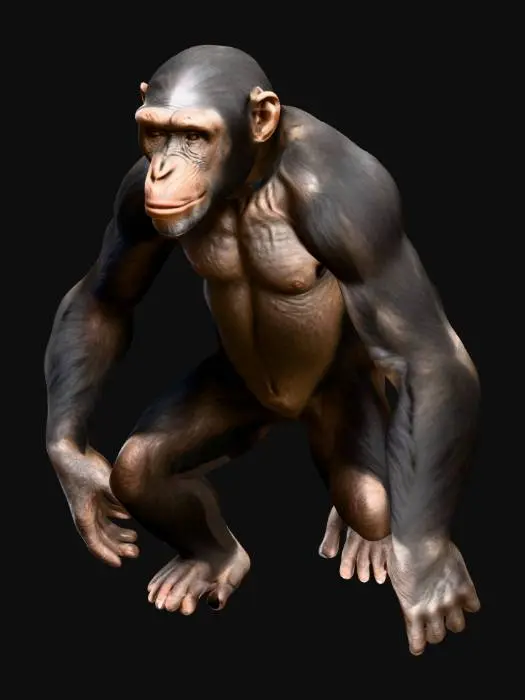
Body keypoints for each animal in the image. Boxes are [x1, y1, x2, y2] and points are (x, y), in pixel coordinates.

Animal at [44, 45, 480, 656]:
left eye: (194, 136)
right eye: (155, 134)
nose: (164, 168)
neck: (250, 178)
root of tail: (288, 416)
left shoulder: (358, 204)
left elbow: (423, 351)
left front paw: (425, 567)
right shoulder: (131, 193)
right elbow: (105, 297)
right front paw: (74, 468)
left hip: (343, 399)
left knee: (368, 499)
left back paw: (369, 540)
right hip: (240, 396)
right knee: (139, 467)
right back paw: (213, 561)